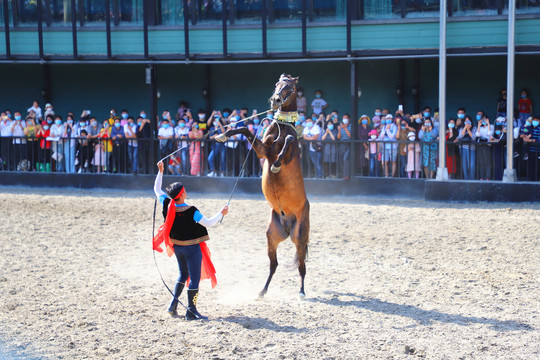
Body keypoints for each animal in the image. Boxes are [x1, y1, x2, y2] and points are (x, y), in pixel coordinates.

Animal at [214, 72, 308, 298]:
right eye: (277, 83)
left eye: (290, 87)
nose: (275, 100)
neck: (283, 125)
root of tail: (287, 225)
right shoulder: (262, 149)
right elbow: (244, 129)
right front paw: (222, 134)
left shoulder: (288, 153)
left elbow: (289, 140)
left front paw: (276, 165)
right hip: (272, 236)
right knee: (274, 265)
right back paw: (262, 291)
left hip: (300, 237)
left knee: (302, 266)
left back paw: (301, 292)